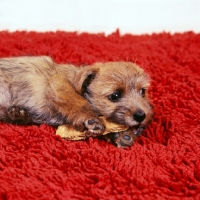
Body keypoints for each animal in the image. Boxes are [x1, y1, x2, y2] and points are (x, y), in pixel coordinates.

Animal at [0, 55, 153, 147]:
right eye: (115, 96)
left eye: (142, 91)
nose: (141, 116)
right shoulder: (60, 86)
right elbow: (77, 101)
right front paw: (91, 119)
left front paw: (123, 135)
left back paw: (18, 113)